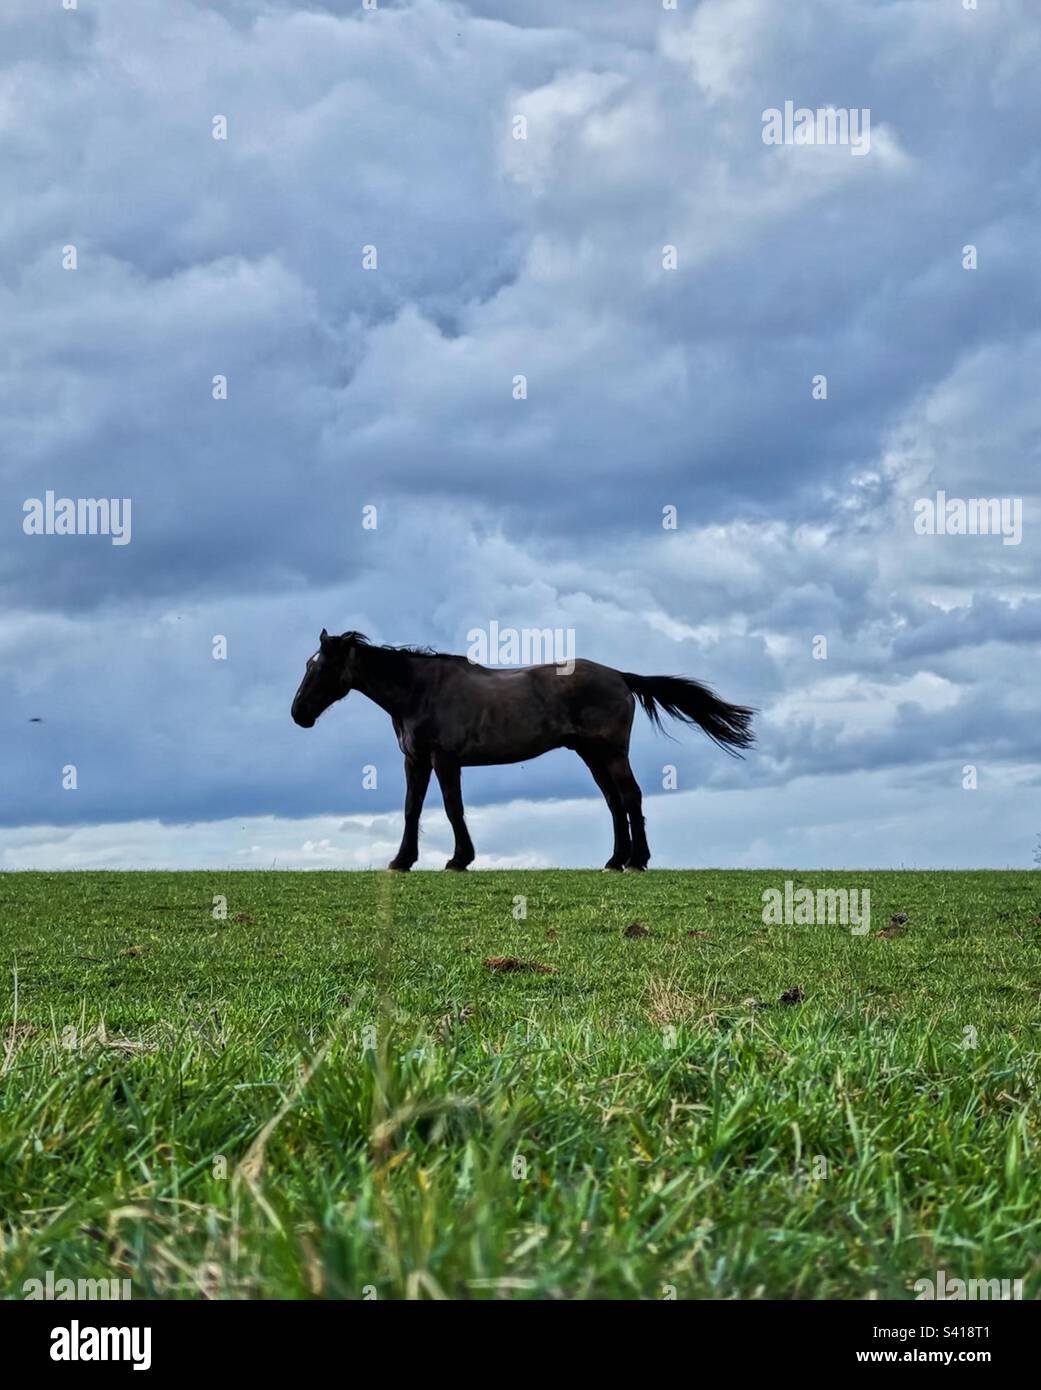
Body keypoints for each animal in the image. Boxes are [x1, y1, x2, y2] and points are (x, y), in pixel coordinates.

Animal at [291, 630, 755, 871]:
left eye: (322, 667)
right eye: (308, 665)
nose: (298, 713)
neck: (419, 690)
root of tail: (619, 676)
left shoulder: (445, 760)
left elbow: (452, 808)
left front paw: (459, 859)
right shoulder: (415, 760)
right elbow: (411, 810)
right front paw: (402, 860)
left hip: (610, 752)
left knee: (630, 797)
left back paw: (637, 859)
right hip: (590, 754)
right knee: (612, 801)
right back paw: (614, 859)